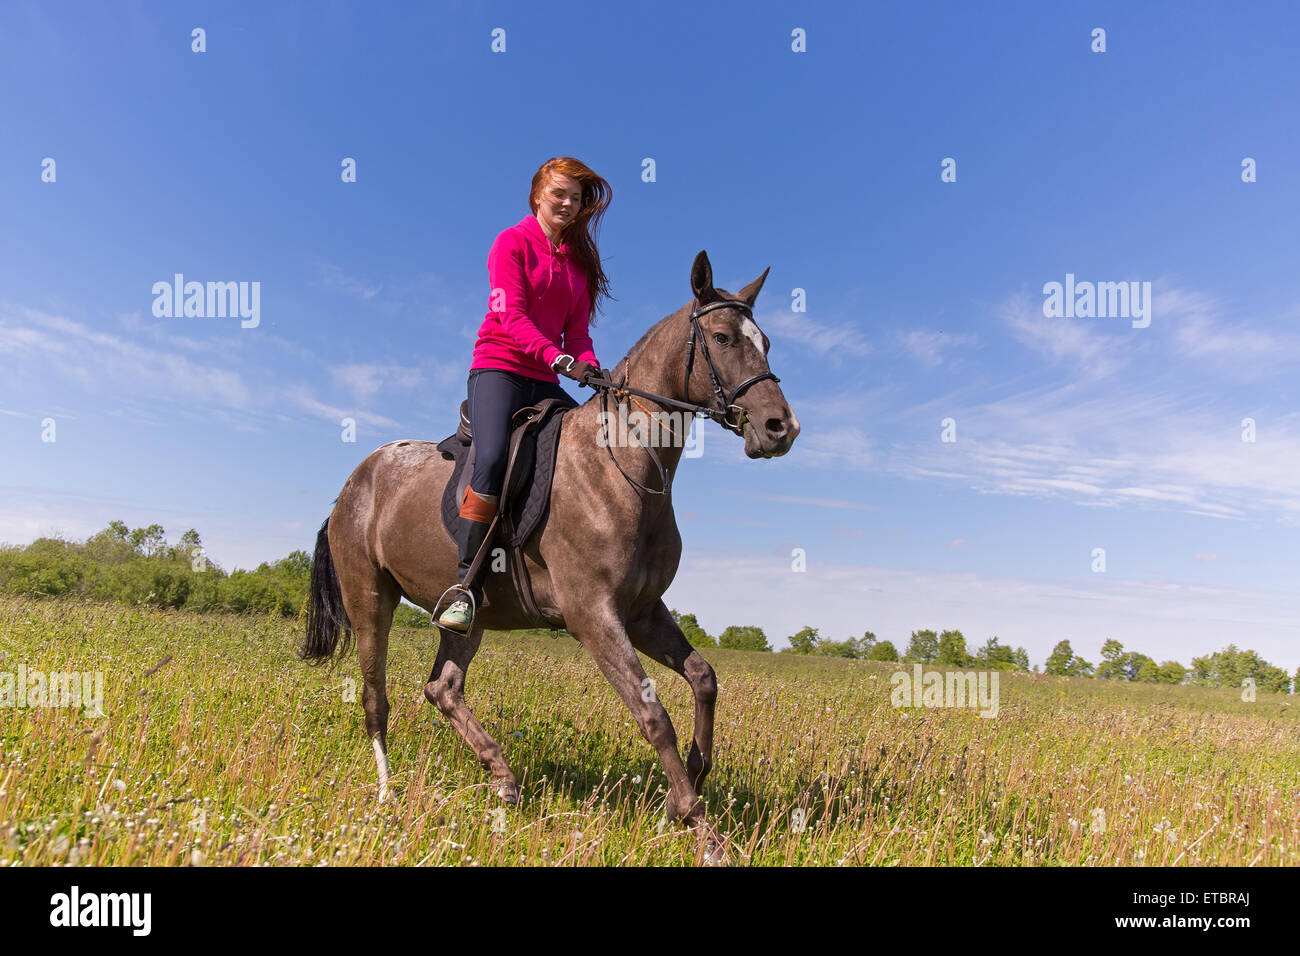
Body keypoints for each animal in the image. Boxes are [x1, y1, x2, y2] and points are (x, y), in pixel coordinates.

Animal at [300, 250, 800, 860]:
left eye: (766, 342)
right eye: (724, 338)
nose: (780, 428)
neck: (622, 466)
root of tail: (353, 484)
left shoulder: (641, 612)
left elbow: (704, 678)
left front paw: (690, 785)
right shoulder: (593, 616)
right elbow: (653, 715)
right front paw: (701, 829)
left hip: (469, 616)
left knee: (443, 687)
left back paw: (503, 779)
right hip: (370, 598)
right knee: (376, 699)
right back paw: (387, 795)